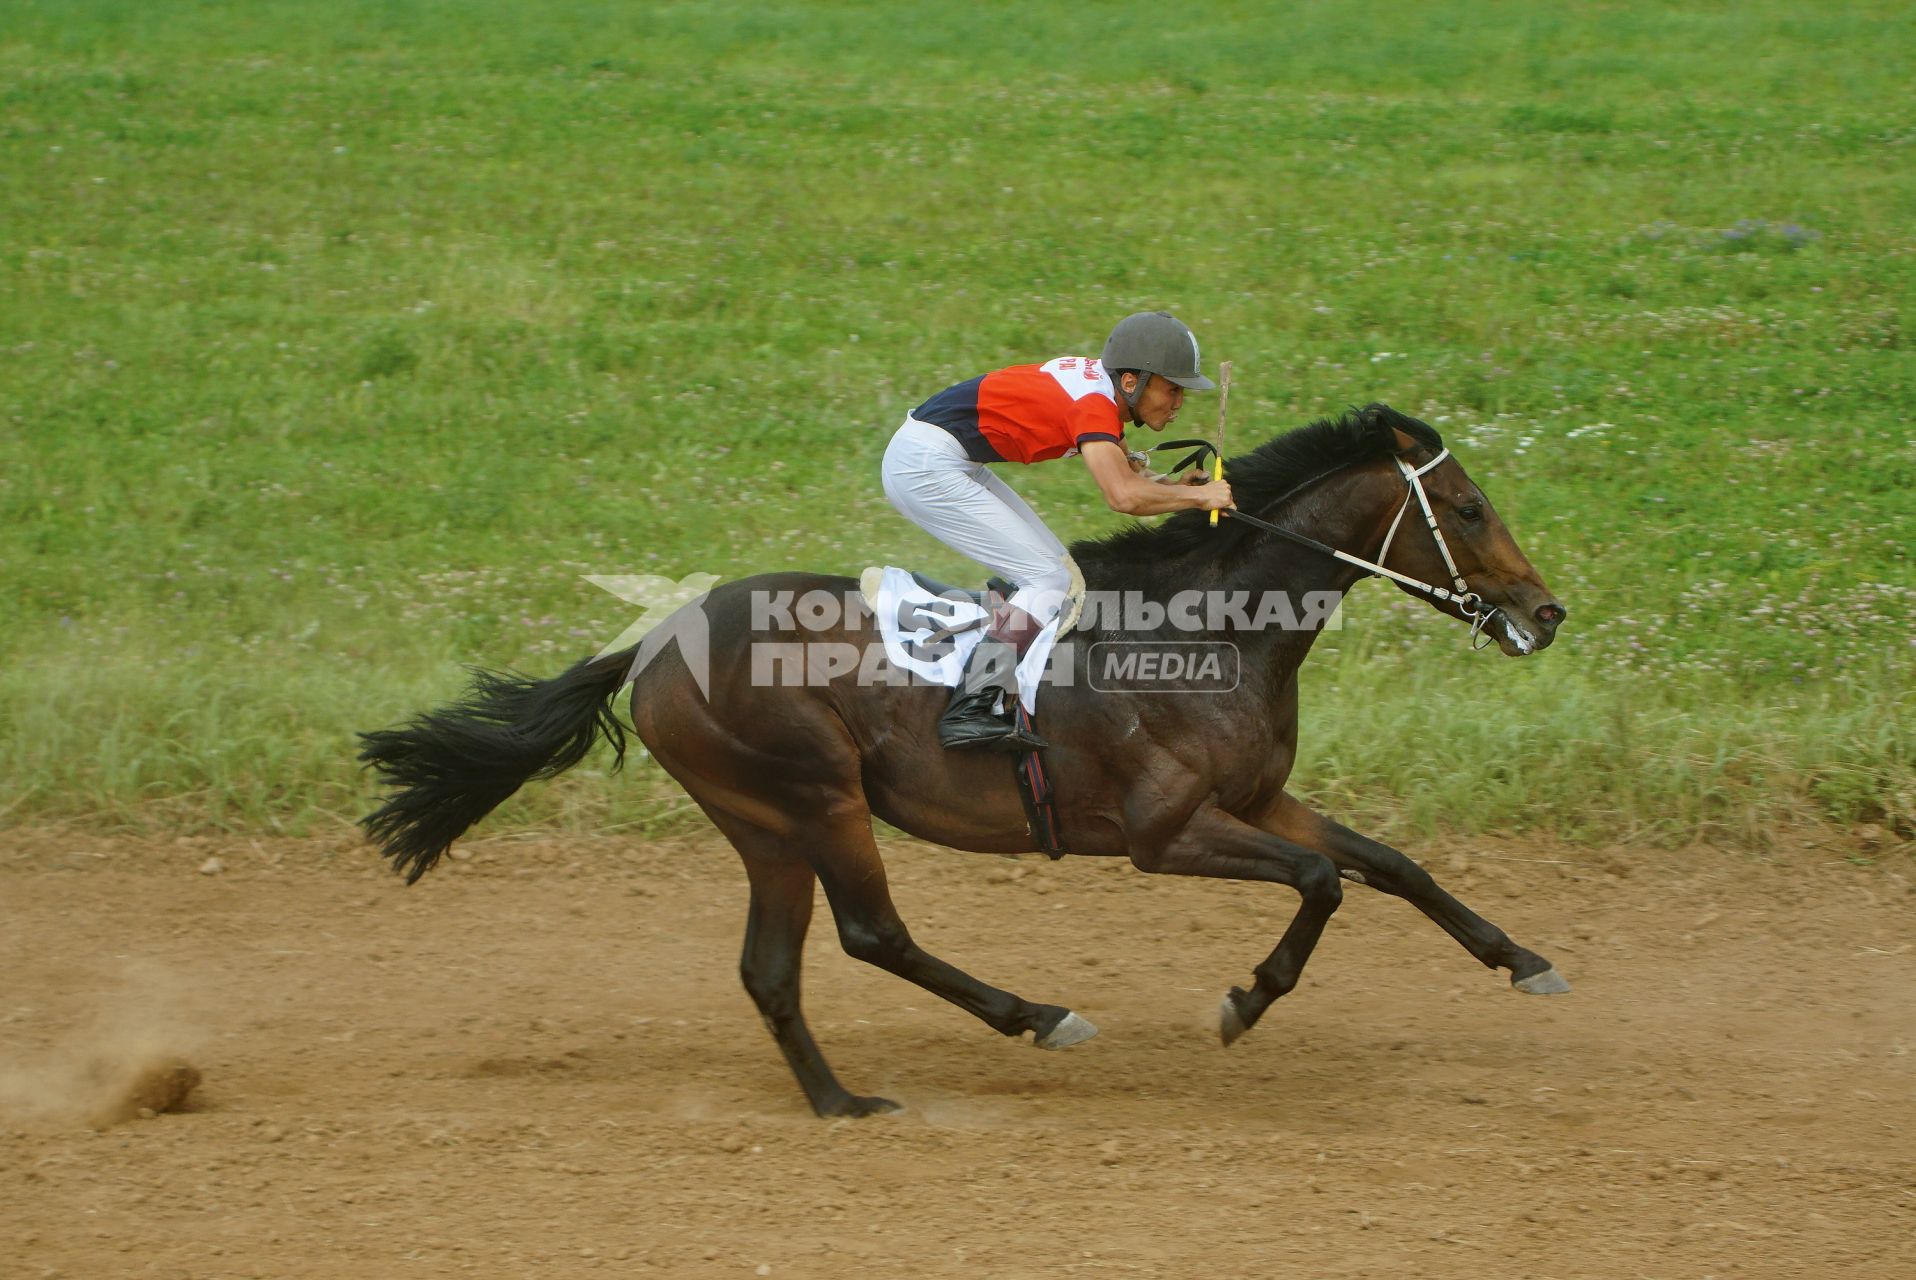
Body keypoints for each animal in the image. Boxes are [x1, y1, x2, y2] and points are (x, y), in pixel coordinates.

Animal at [360, 404, 1571, 1111]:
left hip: (763, 822)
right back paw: (1033, 1017)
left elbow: (1391, 863)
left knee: (771, 967)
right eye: (1468, 507)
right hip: (813, 797)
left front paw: (1522, 958)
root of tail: (654, 643)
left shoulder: (1258, 800)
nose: (1546, 612)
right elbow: (1324, 881)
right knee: (871, 933)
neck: (1216, 630)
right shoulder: (1166, 834)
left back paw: (838, 1100)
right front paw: (1247, 999)